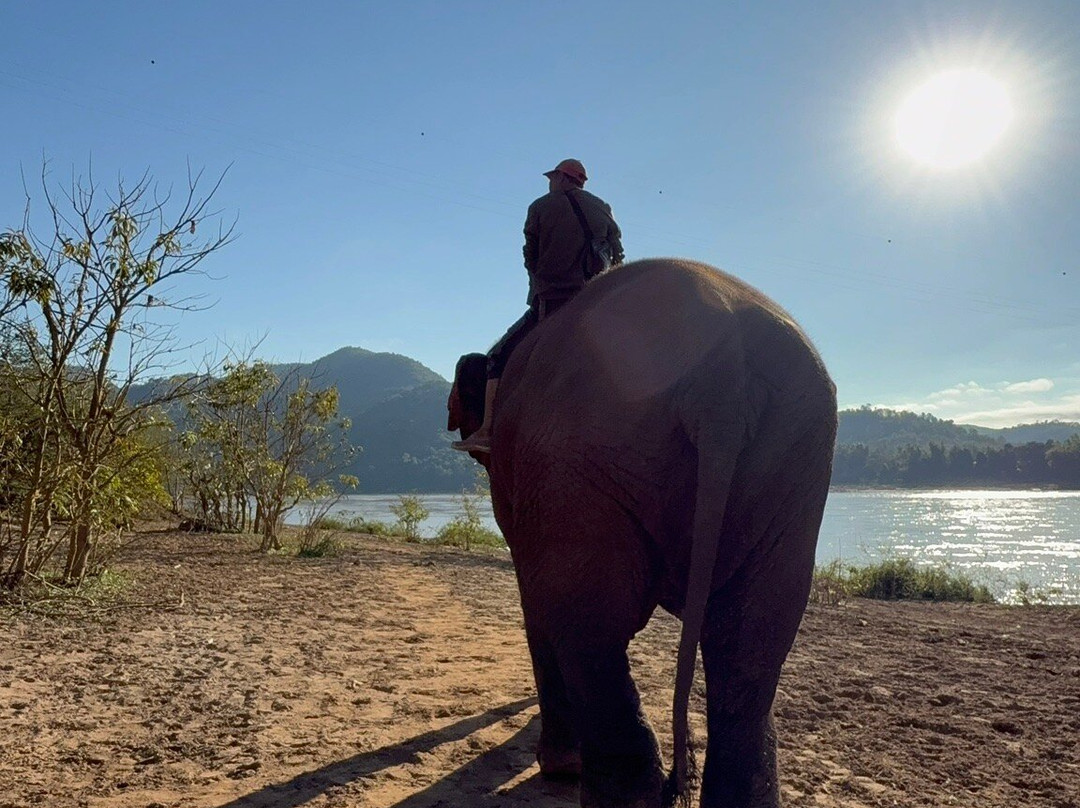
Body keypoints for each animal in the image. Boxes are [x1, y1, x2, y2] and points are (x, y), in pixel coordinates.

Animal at [447, 258, 836, 808]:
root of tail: (721, 376)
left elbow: (536, 596)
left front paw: (557, 765)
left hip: (578, 455)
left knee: (586, 623)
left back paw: (583, 777)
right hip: (795, 459)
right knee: (751, 637)